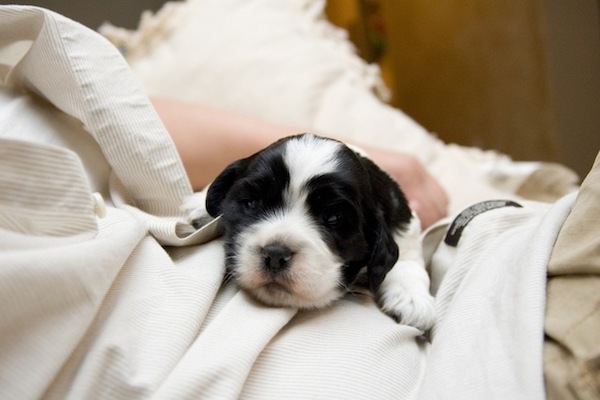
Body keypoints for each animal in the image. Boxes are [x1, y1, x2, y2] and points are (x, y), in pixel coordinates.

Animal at [195, 133, 434, 330]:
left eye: (333, 218)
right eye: (252, 203)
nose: (275, 255)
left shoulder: (404, 220)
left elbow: (408, 257)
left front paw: (412, 299)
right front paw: (198, 204)